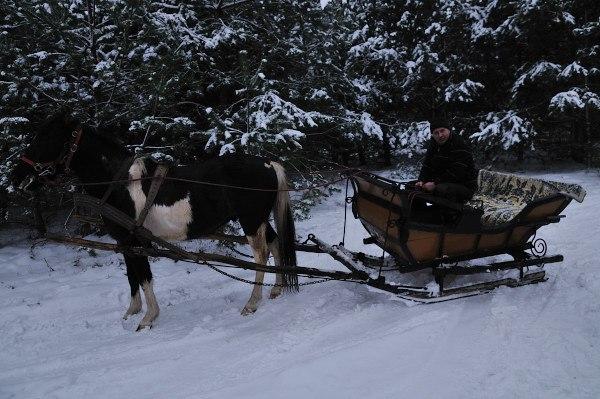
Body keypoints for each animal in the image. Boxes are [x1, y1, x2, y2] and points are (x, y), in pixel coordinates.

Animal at [11, 112, 298, 332]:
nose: (16, 176)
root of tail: (268, 163)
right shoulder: (125, 241)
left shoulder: (137, 240)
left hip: (250, 220)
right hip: (259, 219)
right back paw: (276, 289)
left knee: (260, 255)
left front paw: (148, 319)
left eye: (46, 138)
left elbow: (145, 277)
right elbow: (132, 277)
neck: (119, 183)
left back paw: (252, 303)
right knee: (275, 244)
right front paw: (132, 311)